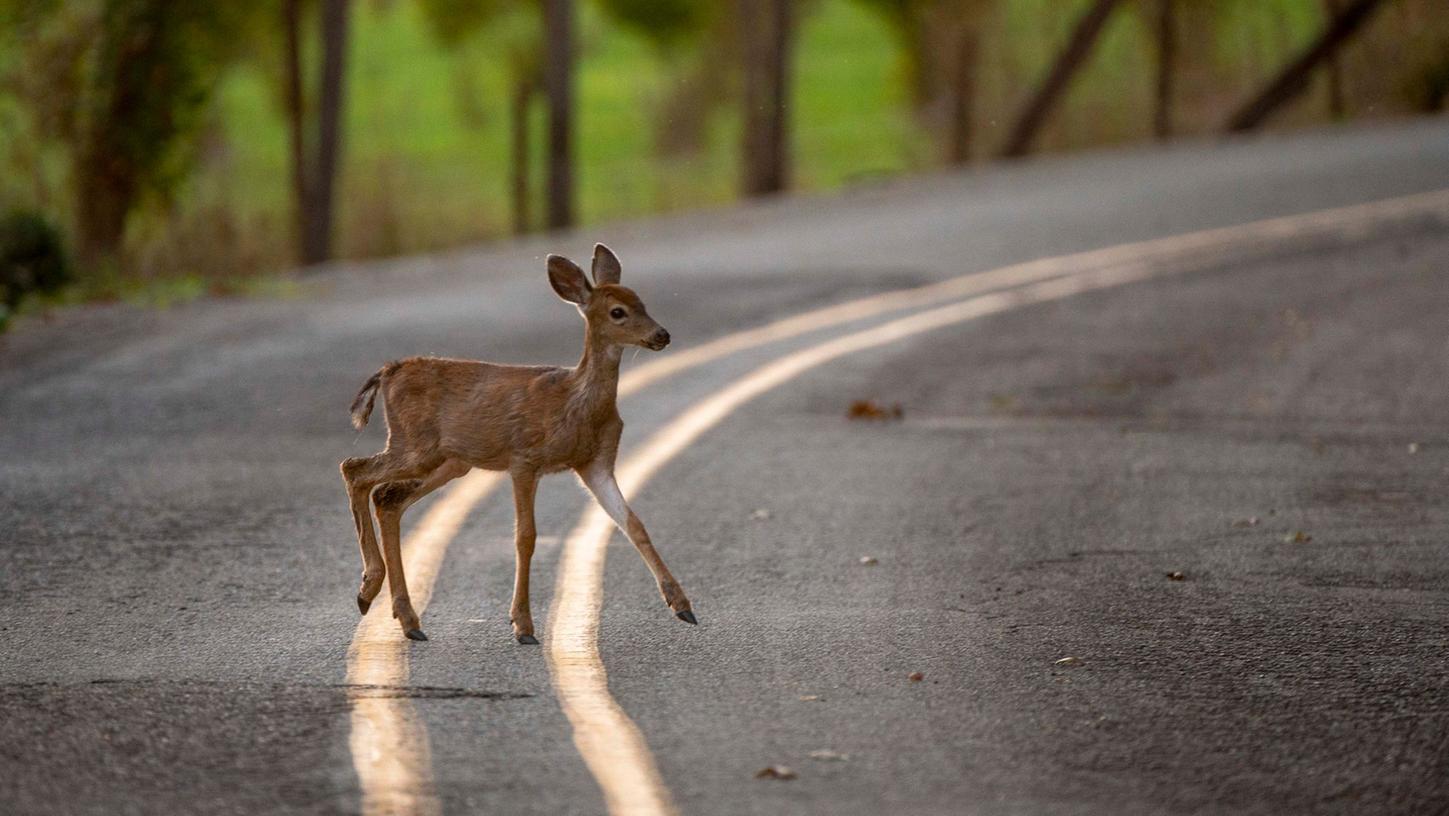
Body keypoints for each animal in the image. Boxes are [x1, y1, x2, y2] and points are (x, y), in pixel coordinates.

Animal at [344, 244, 695, 646]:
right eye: (618, 312)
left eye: (642, 302)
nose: (662, 335)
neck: (576, 402)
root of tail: (389, 370)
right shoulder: (524, 459)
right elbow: (526, 537)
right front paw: (523, 625)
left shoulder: (595, 464)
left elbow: (633, 523)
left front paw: (682, 605)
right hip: (415, 445)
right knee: (354, 469)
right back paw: (368, 589)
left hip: (450, 461)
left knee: (387, 498)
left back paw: (407, 619)